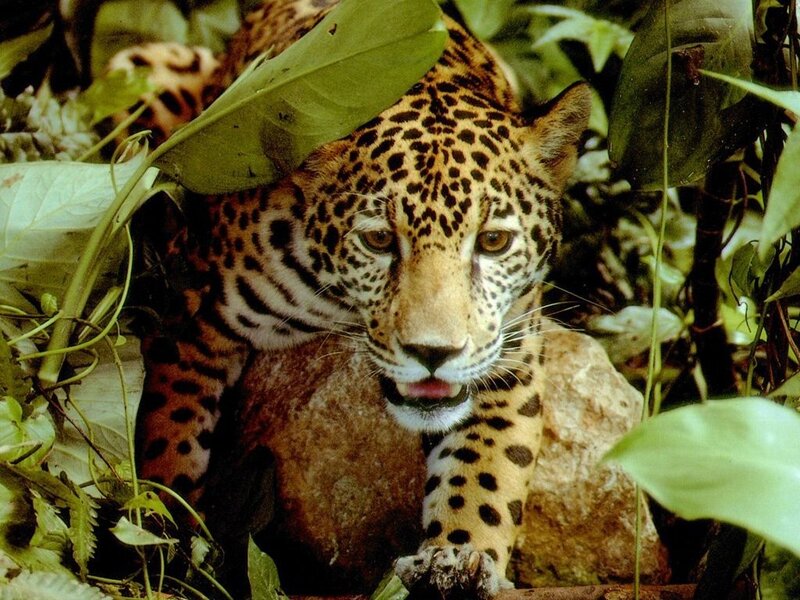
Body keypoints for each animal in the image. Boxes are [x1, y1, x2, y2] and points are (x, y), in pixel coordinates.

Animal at [114, 0, 591, 596]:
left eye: (493, 242)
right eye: (379, 240)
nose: (433, 353)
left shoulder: (510, 355)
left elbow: (487, 472)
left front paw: (460, 559)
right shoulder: (190, 313)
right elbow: (168, 441)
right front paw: (165, 542)